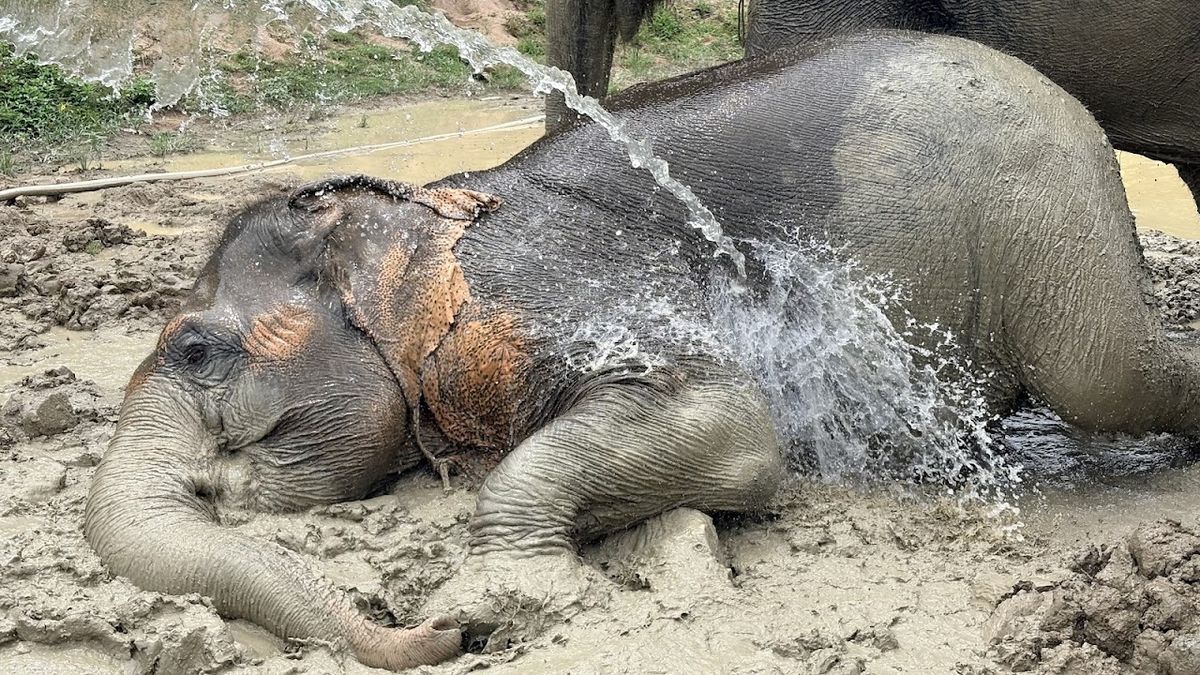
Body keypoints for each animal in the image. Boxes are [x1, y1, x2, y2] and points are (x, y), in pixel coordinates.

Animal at [86, 31, 1200, 670]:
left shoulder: (553, 289)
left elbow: (733, 424)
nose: (426, 634)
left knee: (1107, 374)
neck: (420, 215)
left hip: (1046, 210)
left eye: (195, 349)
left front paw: (486, 606)